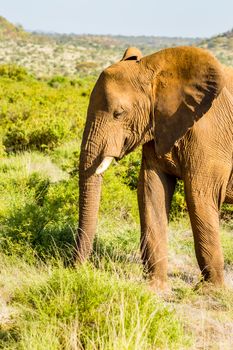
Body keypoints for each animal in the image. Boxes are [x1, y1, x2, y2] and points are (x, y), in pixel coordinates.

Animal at [76, 47, 233, 292]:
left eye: (119, 114)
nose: (74, 269)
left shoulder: (211, 132)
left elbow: (199, 195)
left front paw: (211, 292)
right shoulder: (156, 126)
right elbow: (151, 190)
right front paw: (154, 288)